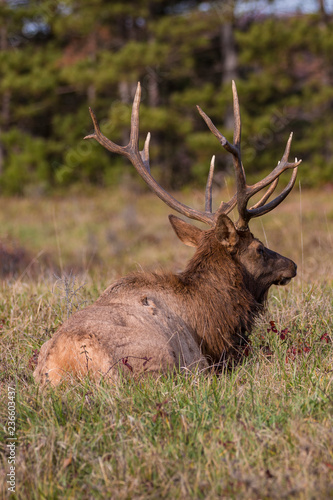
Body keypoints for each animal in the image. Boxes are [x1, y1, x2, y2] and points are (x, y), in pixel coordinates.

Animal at [32, 83, 300, 386]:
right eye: (259, 247)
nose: (292, 265)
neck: (213, 315)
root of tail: (64, 363)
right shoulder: (205, 361)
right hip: (156, 362)